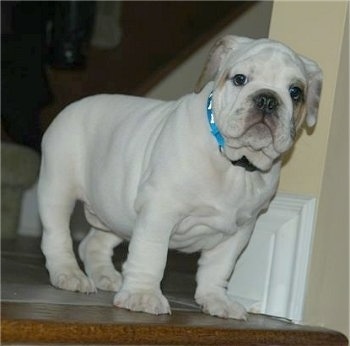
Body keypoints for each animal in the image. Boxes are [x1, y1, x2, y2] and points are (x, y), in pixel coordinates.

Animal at [38, 35, 322, 318]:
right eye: (240, 79)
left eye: (295, 92)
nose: (267, 99)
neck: (235, 164)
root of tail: (74, 105)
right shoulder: (159, 210)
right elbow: (150, 254)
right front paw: (143, 295)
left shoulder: (239, 229)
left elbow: (219, 267)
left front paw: (217, 300)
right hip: (57, 189)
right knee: (57, 236)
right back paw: (69, 274)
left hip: (115, 212)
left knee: (93, 243)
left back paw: (105, 276)